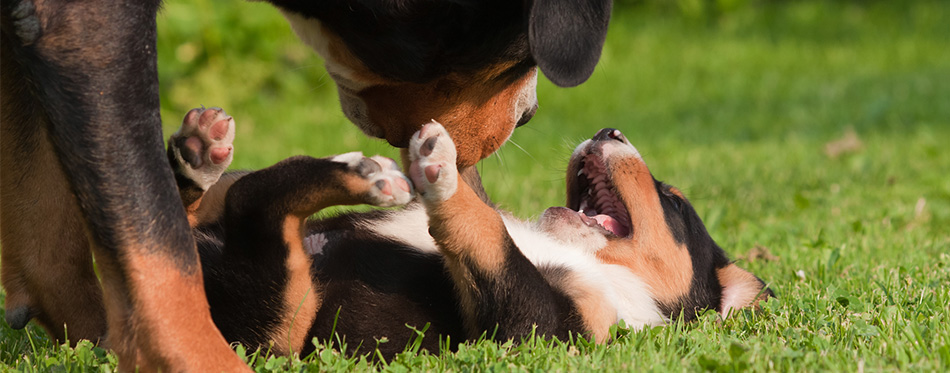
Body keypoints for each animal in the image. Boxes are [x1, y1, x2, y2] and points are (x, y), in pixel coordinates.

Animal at [0, 0, 608, 370]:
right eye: (518, 53)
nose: (529, 116)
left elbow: (58, 247)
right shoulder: (88, 28)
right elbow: (156, 255)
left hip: (282, 302)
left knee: (241, 203)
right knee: (232, 206)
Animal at [165, 106, 772, 356]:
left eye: (673, 201)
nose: (609, 131)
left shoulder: (536, 330)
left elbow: (493, 237)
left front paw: (444, 172)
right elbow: (496, 223)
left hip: (281, 322)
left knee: (257, 207)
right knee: (228, 199)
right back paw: (199, 155)